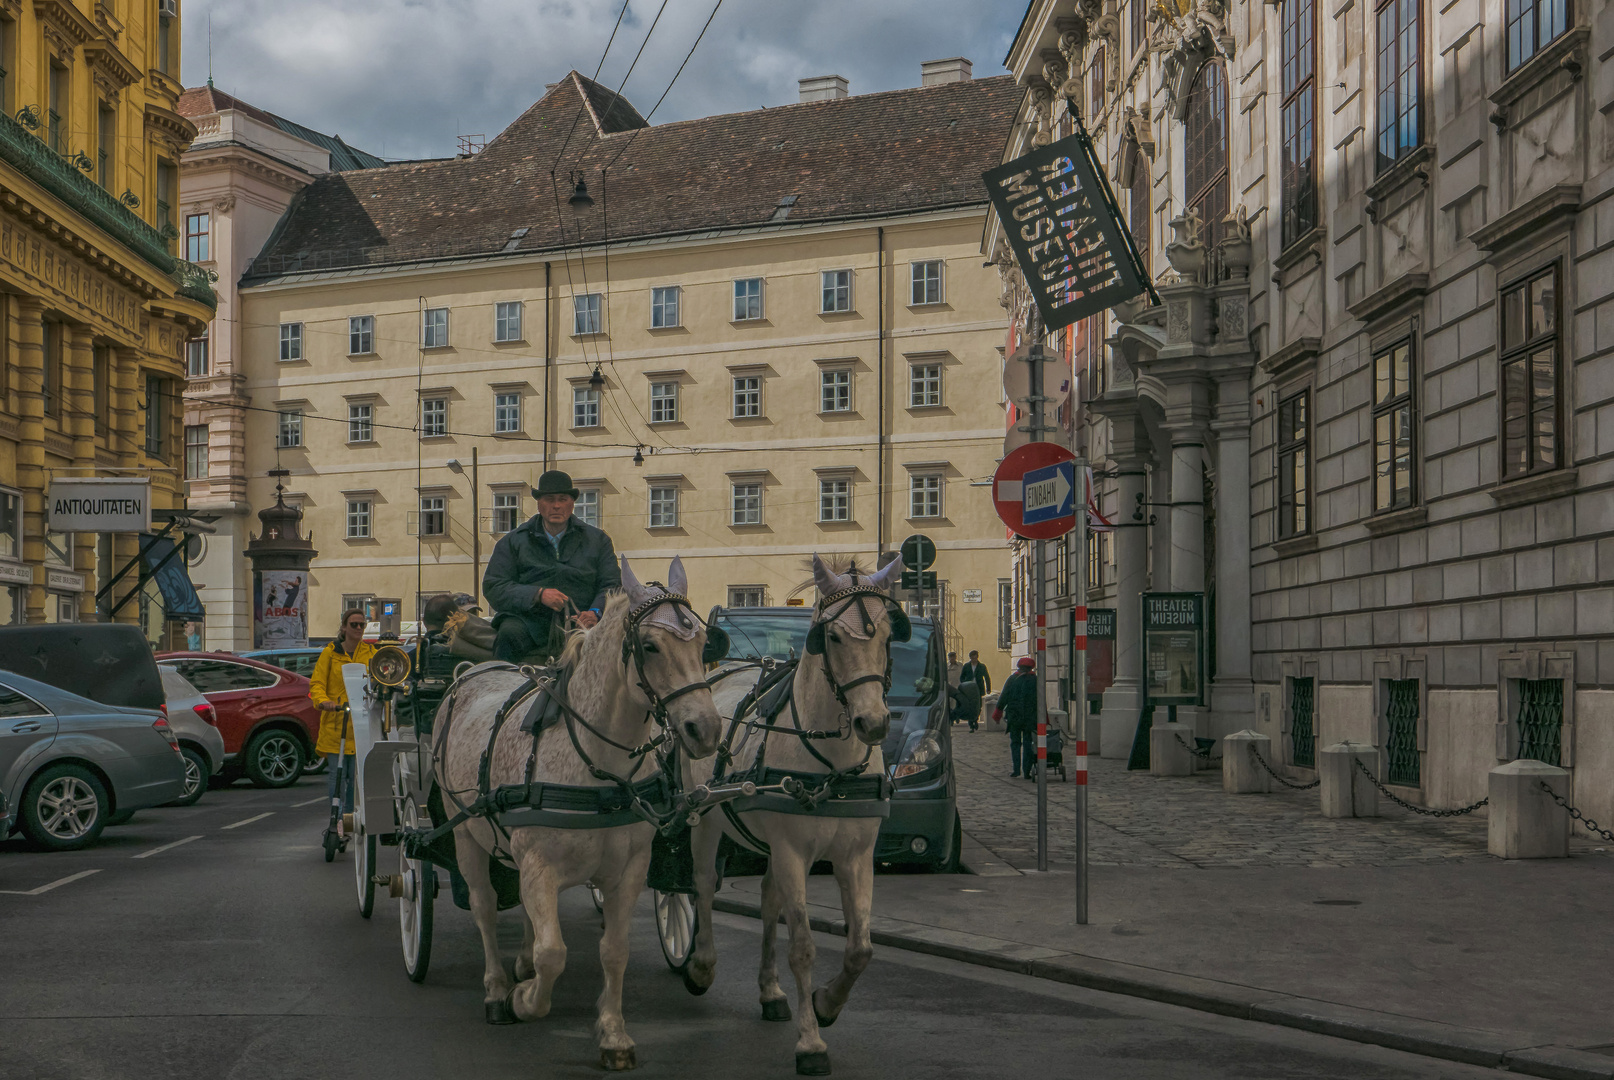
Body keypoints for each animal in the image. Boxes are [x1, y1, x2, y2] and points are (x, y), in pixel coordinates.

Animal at [439, 555, 723, 1071]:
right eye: (649, 646)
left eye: (702, 643)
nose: (705, 729)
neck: (597, 767)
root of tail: (472, 671)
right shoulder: (540, 866)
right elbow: (554, 952)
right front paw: (525, 1000)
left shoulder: (627, 871)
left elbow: (613, 950)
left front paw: (613, 1034)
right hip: (465, 834)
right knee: (485, 907)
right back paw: (496, 989)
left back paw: (519, 965)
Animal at [684, 552, 910, 1071]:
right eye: (833, 637)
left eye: (890, 634)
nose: (874, 723)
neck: (832, 766)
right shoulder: (791, 851)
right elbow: (803, 947)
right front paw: (811, 1043)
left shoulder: (856, 857)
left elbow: (860, 948)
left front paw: (826, 1004)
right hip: (703, 816)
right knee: (702, 886)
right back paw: (701, 966)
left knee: (769, 900)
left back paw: (770, 992)